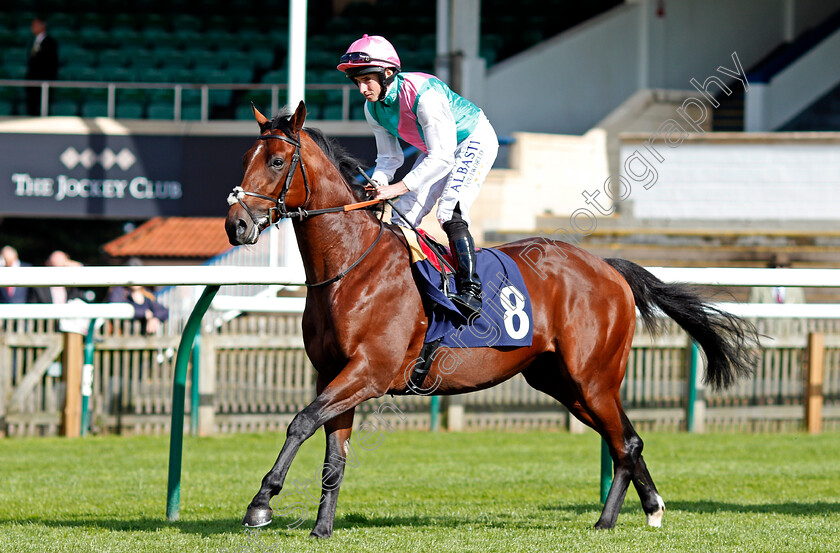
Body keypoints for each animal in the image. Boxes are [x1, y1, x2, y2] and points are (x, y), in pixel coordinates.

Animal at [223, 101, 756, 536]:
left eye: (276, 161)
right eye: (246, 157)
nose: (236, 224)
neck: (351, 266)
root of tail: (607, 266)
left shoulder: (368, 372)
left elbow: (300, 422)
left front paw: (261, 503)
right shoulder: (335, 373)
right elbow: (333, 454)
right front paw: (322, 529)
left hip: (593, 377)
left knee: (623, 440)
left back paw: (609, 521)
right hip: (561, 381)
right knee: (627, 438)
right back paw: (649, 508)